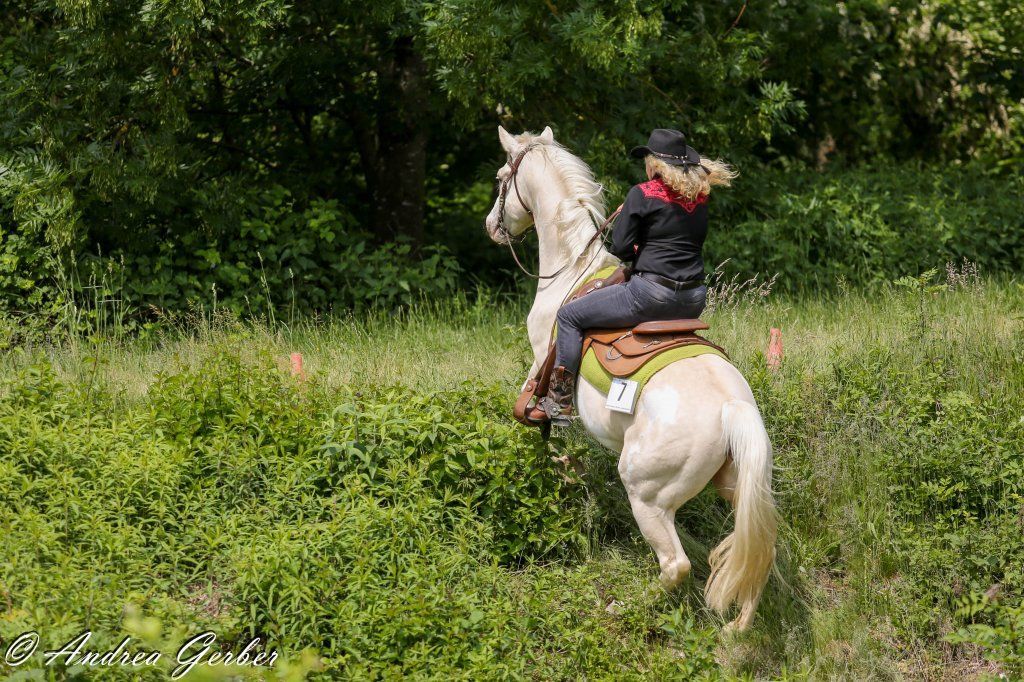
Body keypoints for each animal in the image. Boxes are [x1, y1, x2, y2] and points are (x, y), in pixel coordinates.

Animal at [484, 126, 777, 631]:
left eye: (503, 177)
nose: (491, 226)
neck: (572, 267)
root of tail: (732, 409)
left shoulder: (541, 360)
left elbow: (536, 416)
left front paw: (561, 458)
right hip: (740, 487)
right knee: (754, 555)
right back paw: (736, 628)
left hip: (648, 496)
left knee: (676, 565)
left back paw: (628, 606)